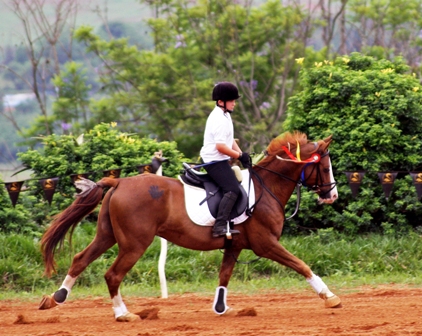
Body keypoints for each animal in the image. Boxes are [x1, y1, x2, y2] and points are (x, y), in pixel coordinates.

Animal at [38, 131, 342, 320]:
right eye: (325, 167)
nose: (332, 196)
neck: (266, 188)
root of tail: (119, 181)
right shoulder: (265, 244)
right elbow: (301, 265)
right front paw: (330, 296)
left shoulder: (235, 245)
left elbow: (224, 276)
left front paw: (221, 308)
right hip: (135, 243)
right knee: (112, 275)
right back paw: (123, 314)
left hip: (107, 235)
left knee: (80, 259)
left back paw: (56, 298)